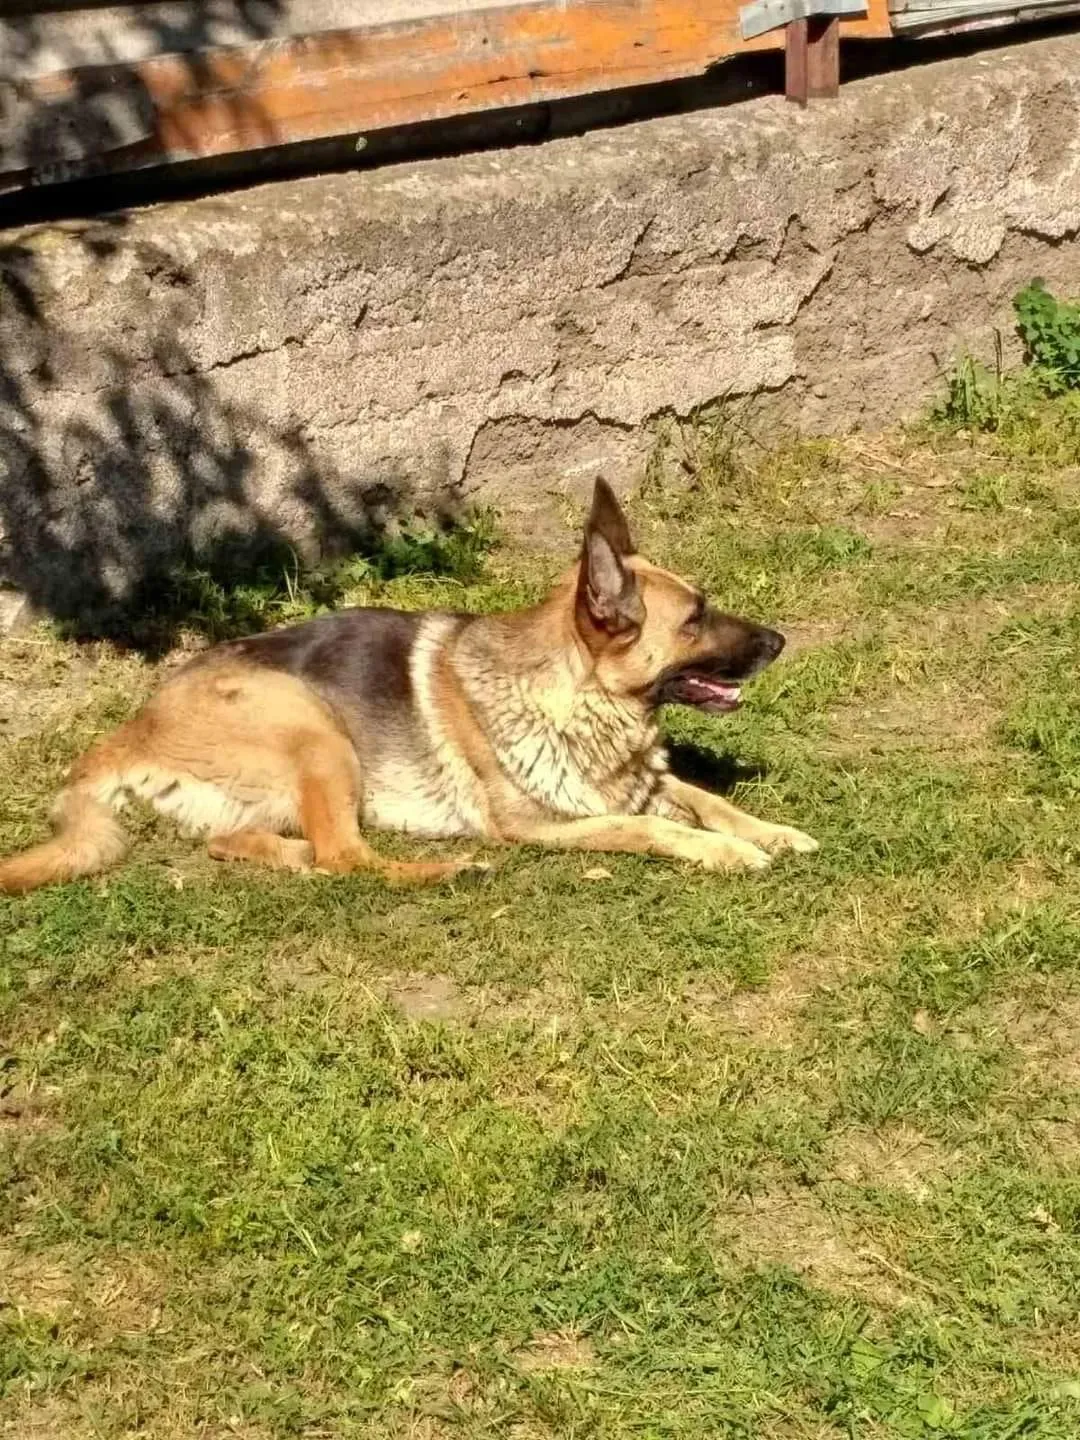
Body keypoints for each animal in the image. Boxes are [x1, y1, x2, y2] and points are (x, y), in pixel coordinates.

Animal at [0, 478, 817, 892]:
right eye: (696, 618)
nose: (781, 642)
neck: (582, 699)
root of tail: (123, 735)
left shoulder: (640, 780)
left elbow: (708, 799)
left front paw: (772, 832)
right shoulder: (541, 823)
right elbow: (652, 826)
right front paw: (725, 853)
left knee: (256, 846)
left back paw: (290, 856)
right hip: (314, 728)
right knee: (347, 857)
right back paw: (446, 867)